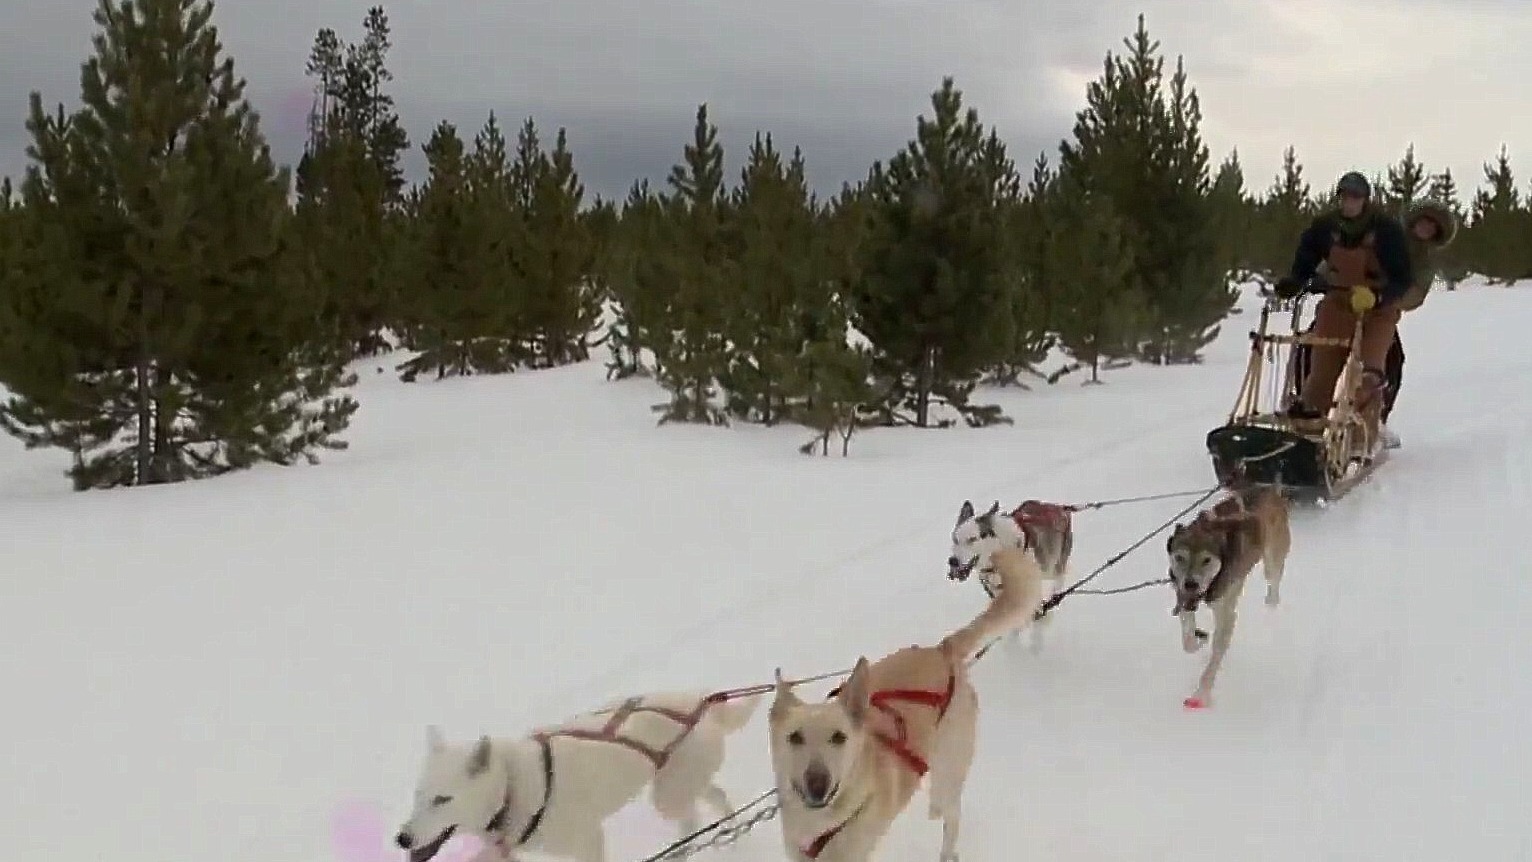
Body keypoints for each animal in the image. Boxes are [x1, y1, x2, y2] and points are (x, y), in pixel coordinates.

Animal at [392, 692, 756, 862]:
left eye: (443, 799)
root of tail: (702, 703)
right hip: (678, 783)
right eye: (417, 795)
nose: (402, 839)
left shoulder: (588, 840)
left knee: (690, 816)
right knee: (714, 797)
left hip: (669, 796)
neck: (512, 786)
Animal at [762, 545, 1047, 862]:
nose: (817, 784)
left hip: (946, 773)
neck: (822, 825)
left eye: (839, 737)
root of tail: (942, 650)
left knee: (951, 815)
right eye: (795, 737)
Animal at [1164, 486, 1286, 707]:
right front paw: (1199, 638)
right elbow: (1188, 641)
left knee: (1273, 581)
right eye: (1180, 557)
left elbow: (1216, 655)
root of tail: (1269, 490)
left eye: (1206, 560)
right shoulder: (1183, 598)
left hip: (1273, 560)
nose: (1191, 583)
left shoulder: (1226, 614)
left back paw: (1272, 603)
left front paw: (1201, 693)